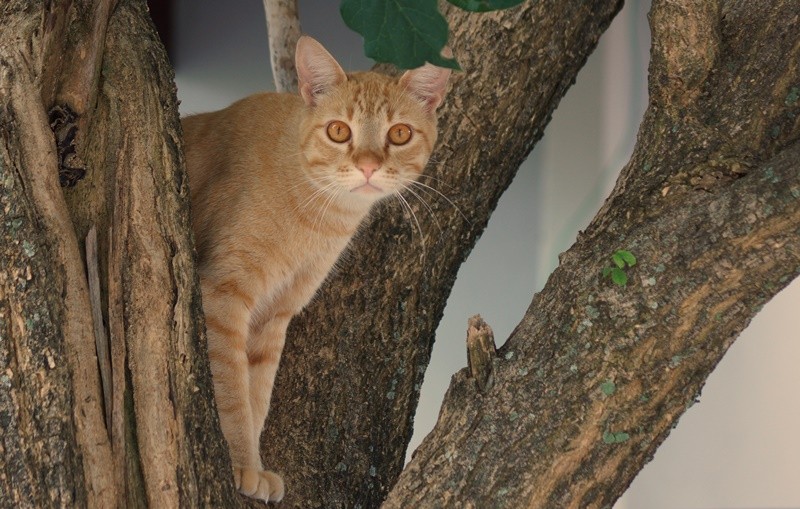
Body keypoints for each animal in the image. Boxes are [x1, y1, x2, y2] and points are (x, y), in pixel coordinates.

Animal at [181, 36, 450, 504]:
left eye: (398, 134)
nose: (368, 165)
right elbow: (231, 391)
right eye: (339, 131)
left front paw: (256, 465)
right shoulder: (223, 295)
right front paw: (241, 463)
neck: (317, 218)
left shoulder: (274, 317)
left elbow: (256, 396)